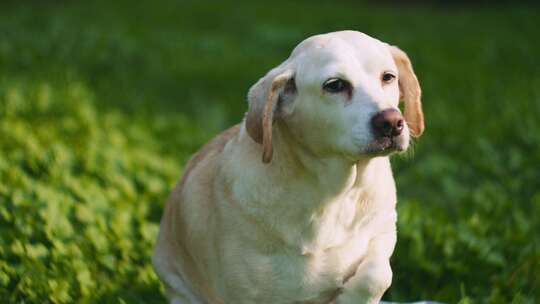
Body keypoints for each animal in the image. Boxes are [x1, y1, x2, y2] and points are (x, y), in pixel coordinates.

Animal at [152, 29, 422, 304]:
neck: (332, 195)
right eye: (335, 85)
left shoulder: (383, 228)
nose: (392, 123)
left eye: (388, 77)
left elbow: (378, 274)